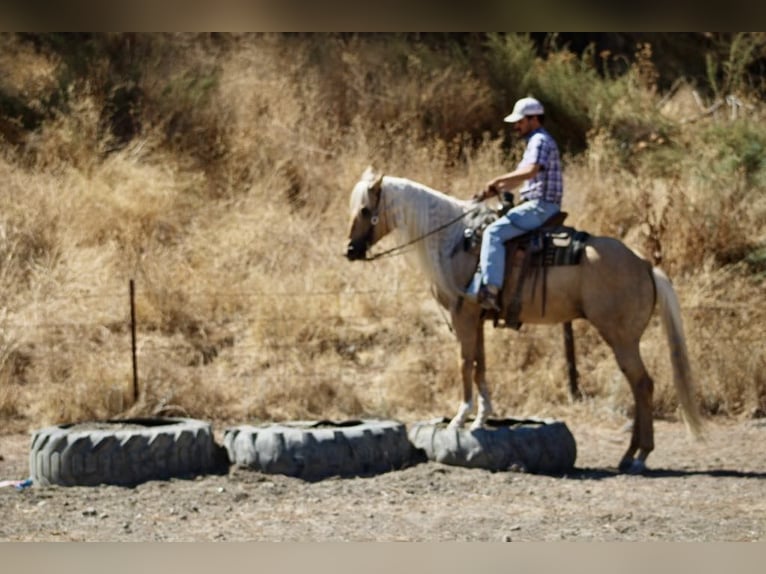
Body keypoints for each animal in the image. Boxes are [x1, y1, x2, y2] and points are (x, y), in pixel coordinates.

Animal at [345, 167, 704, 473]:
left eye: (364, 210)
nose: (350, 250)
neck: (452, 240)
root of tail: (644, 264)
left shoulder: (463, 316)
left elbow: (464, 363)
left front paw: (460, 419)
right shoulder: (478, 319)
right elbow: (480, 365)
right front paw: (482, 417)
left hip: (621, 337)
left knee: (642, 384)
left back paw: (639, 456)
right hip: (624, 338)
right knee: (638, 385)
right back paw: (629, 455)